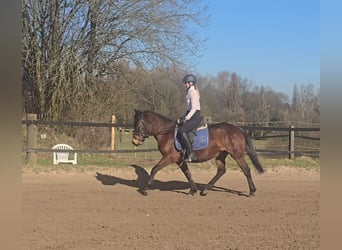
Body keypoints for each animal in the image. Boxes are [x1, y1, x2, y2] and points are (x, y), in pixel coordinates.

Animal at [131, 110, 264, 196]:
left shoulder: (170, 157)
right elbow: (187, 173)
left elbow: (155, 168)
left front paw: (146, 189)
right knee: (221, 171)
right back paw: (205, 190)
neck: (167, 133)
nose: (134, 141)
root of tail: (238, 128)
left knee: (246, 170)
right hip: (220, 155)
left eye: (138, 124)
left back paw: (252, 191)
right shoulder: (179, 159)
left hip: (237, 154)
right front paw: (193, 190)